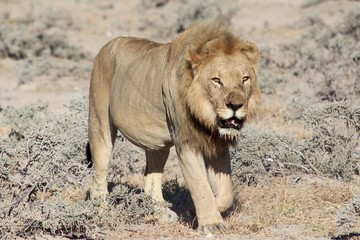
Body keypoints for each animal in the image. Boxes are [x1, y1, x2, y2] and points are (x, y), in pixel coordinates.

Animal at [88, 17, 260, 233]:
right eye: (217, 80)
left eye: (245, 79)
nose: (236, 105)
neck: (205, 113)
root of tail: (104, 48)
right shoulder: (185, 142)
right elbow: (200, 185)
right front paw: (211, 223)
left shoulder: (217, 144)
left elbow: (226, 191)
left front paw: (199, 211)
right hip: (99, 126)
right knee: (98, 178)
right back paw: (101, 215)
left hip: (157, 147)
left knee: (150, 181)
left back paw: (161, 214)